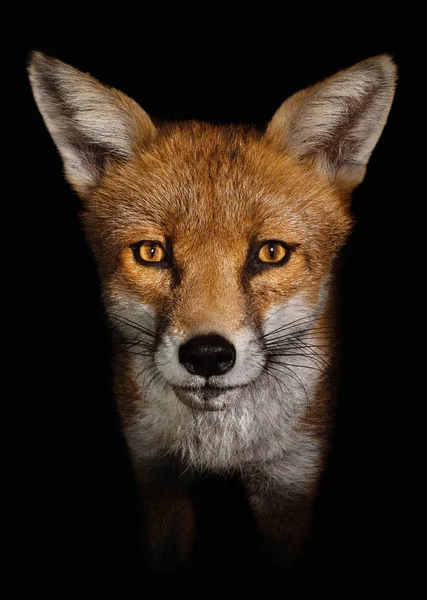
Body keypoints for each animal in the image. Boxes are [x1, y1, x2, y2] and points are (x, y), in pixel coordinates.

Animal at [29, 54, 398, 584]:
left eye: (270, 253)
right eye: (151, 253)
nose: (207, 355)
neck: (220, 449)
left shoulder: (291, 480)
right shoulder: (157, 475)